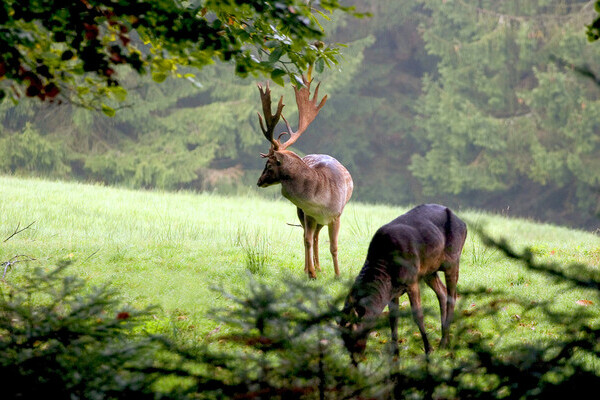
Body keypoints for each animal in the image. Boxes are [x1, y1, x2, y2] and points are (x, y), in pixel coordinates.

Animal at [256, 76, 352, 280]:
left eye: (269, 165)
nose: (259, 181)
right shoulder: (308, 213)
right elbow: (306, 240)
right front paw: (311, 273)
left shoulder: (336, 215)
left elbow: (334, 247)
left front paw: (337, 275)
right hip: (305, 215)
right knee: (309, 237)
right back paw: (312, 268)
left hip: (322, 219)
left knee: (316, 237)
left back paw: (320, 267)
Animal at [340, 205, 466, 360]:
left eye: (353, 331)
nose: (355, 359)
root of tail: (464, 224)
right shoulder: (393, 292)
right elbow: (393, 318)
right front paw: (395, 354)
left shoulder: (412, 281)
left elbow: (418, 315)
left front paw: (428, 349)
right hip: (429, 270)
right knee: (442, 292)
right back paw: (444, 339)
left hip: (453, 260)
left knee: (452, 296)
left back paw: (443, 342)